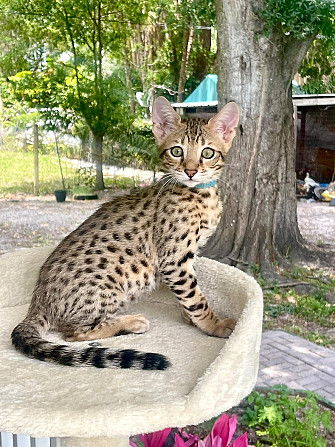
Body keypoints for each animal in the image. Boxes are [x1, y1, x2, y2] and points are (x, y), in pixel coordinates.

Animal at [11, 97, 240, 372]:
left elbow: (192, 292)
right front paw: (213, 324)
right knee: (73, 332)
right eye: (177, 151)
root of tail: (37, 302)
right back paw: (131, 322)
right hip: (113, 283)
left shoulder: (185, 258)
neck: (199, 194)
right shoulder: (174, 260)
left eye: (207, 152)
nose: (191, 171)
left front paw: (191, 317)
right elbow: (196, 298)